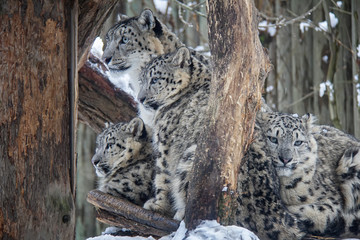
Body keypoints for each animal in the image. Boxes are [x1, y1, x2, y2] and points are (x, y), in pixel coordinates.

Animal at [137, 46, 211, 220]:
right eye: (141, 81)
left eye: (155, 79)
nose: (140, 98)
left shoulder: (164, 142)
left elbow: (163, 175)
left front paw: (158, 205)